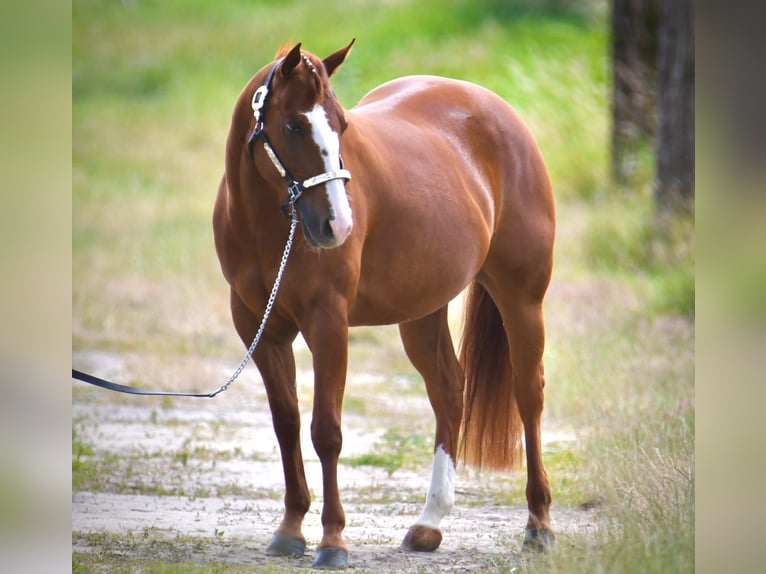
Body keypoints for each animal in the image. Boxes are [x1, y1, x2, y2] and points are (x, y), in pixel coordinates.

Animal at [213, 40, 556, 569]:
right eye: (292, 125)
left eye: (342, 124)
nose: (337, 225)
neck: (265, 226)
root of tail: (497, 110)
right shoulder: (260, 330)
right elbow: (287, 424)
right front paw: (290, 529)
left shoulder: (328, 324)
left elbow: (326, 431)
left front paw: (333, 541)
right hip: (422, 311)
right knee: (448, 390)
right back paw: (429, 524)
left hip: (522, 299)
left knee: (528, 396)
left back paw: (539, 524)